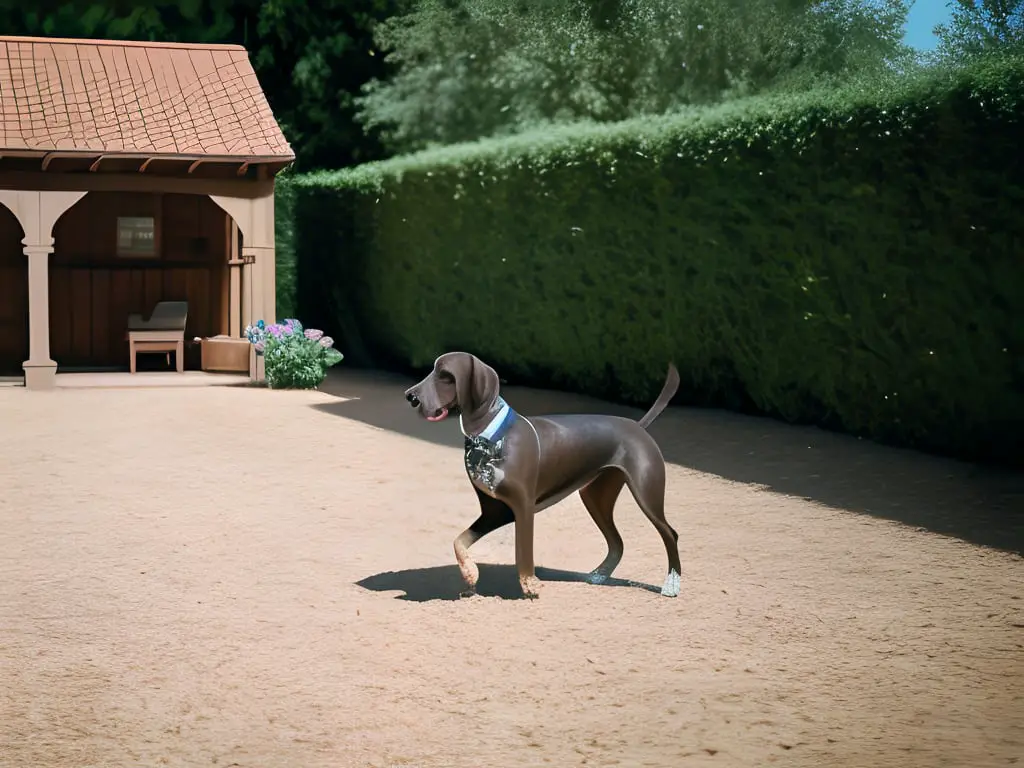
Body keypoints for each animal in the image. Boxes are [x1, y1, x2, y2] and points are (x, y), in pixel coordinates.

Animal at [403, 354, 684, 602]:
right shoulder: (494, 511)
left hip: (646, 493)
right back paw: (599, 575)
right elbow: (459, 541)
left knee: (670, 533)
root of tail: (638, 425)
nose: (410, 397)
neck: (491, 438)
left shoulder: (522, 508)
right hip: (595, 496)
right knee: (617, 541)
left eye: (446, 375)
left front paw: (530, 585)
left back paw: (671, 585)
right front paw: (470, 573)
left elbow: (523, 553)